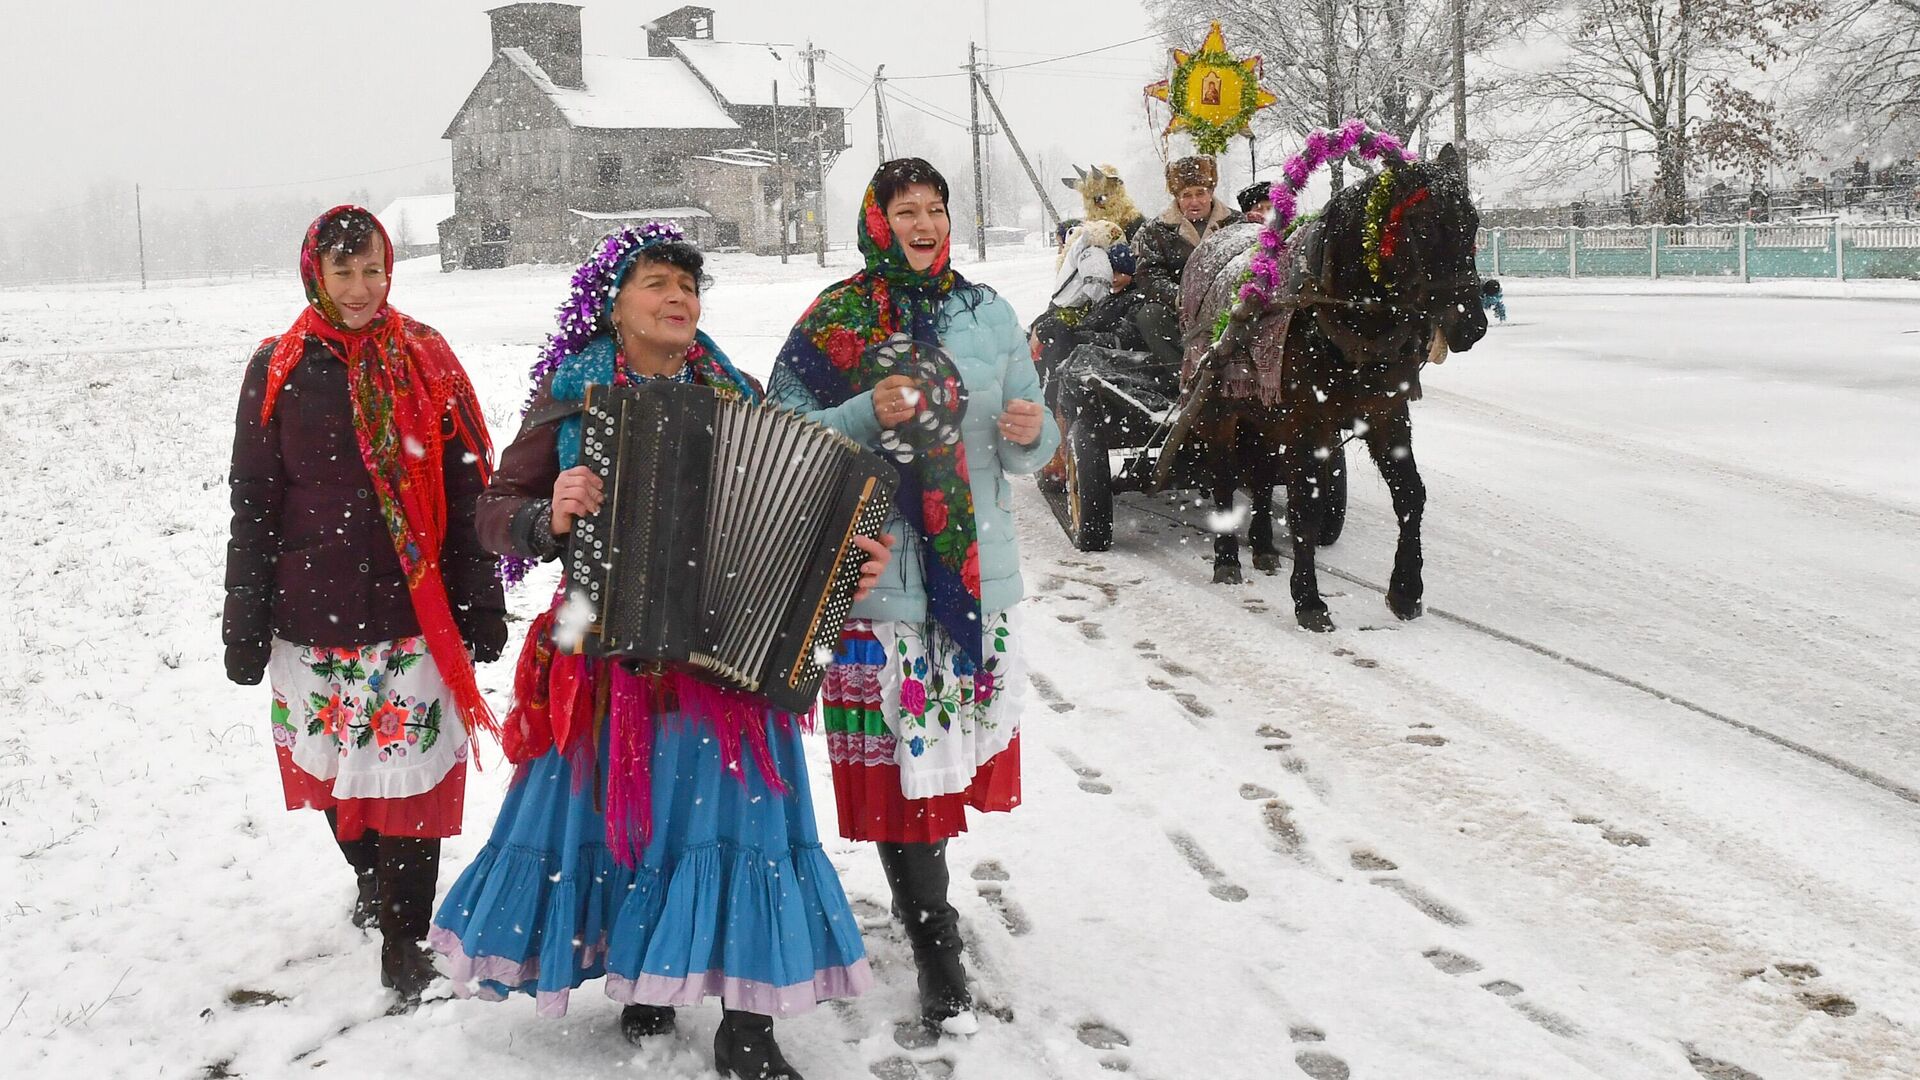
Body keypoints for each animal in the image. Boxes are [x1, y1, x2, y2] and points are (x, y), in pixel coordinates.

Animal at [1152, 143, 1482, 630]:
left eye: (1473, 223)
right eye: (1424, 225)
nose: (1472, 325)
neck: (1343, 316)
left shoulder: (1386, 413)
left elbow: (1410, 495)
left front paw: (1405, 589)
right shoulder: (1307, 422)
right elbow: (1305, 507)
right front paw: (1308, 599)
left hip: (1261, 413)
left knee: (1261, 474)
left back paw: (1263, 546)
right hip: (1217, 407)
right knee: (1225, 476)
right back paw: (1228, 557)